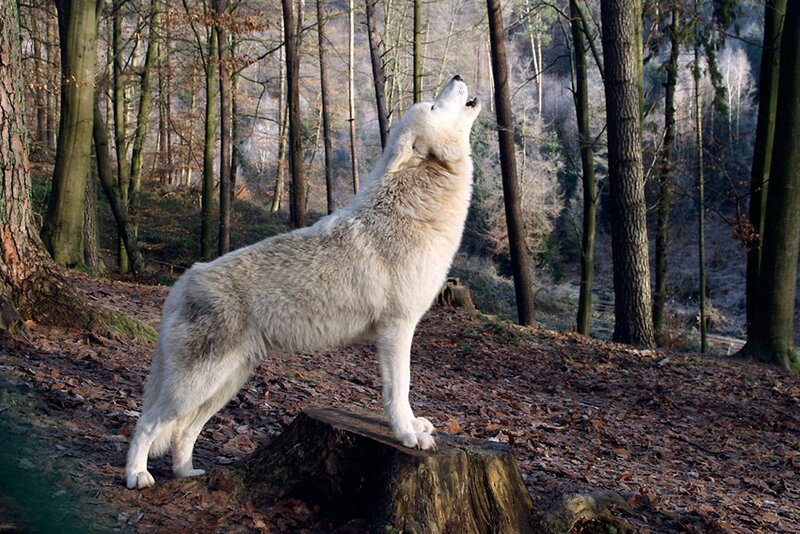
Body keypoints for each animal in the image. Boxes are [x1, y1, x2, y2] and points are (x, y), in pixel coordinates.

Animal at [125, 75, 481, 489]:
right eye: (434, 107)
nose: (457, 77)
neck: (413, 207)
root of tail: (183, 280)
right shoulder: (396, 329)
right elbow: (399, 390)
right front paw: (407, 434)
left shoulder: (399, 330)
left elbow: (402, 393)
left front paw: (414, 426)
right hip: (197, 384)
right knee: (146, 423)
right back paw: (136, 475)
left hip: (224, 385)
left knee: (183, 430)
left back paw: (187, 473)